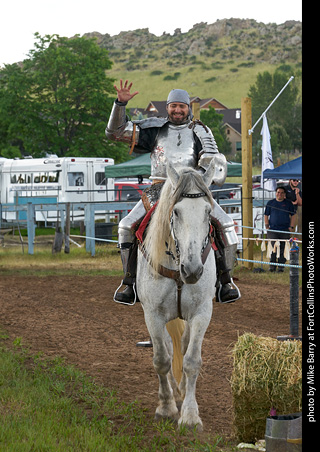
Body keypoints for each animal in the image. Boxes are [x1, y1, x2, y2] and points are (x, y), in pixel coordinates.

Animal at [136, 160, 216, 430]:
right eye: (177, 212)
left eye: (207, 212)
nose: (192, 270)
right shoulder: (153, 315)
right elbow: (161, 359)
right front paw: (166, 408)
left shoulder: (202, 313)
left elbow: (192, 361)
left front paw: (190, 415)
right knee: (170, 350)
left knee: (183, 343)